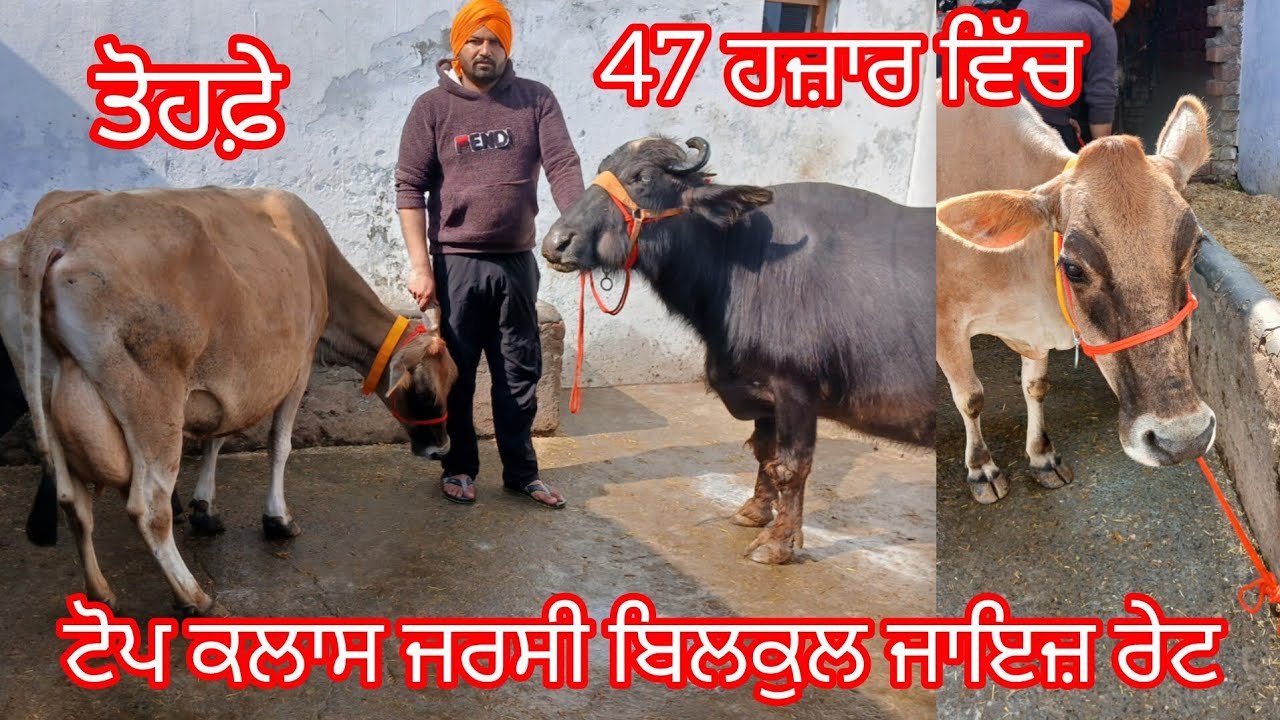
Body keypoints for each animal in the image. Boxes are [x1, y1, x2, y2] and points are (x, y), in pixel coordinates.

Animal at [0, 187, 457, 615]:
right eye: (429, 390)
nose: (441, 448)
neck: (317, 260)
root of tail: (60, 225)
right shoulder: (300, 365)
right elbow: (279, 445)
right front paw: (277, 519)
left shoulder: (226, 379)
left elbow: (217, 437)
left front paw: (205, 508)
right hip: (153, 404)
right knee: (149, 507)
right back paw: (193, 596)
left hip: (43, 387)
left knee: (72, 500)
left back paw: (101, 593)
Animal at [540, 137, 935, 564]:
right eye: (603, 170)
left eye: (641, 177)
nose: (556, 243)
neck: (741, 260)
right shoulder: (763, 389)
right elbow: (765, 452)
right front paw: (755, 511)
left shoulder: (796, 388)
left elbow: (791, 465)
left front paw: (777, 543)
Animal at [936, 94, 1214, 503]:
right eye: (1072, 268)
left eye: (1196, 249)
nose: (1182, 438)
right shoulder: (945, 323)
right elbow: (970, 397)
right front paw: (982, 469)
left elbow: (1036, 387)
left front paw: (1042, 457)